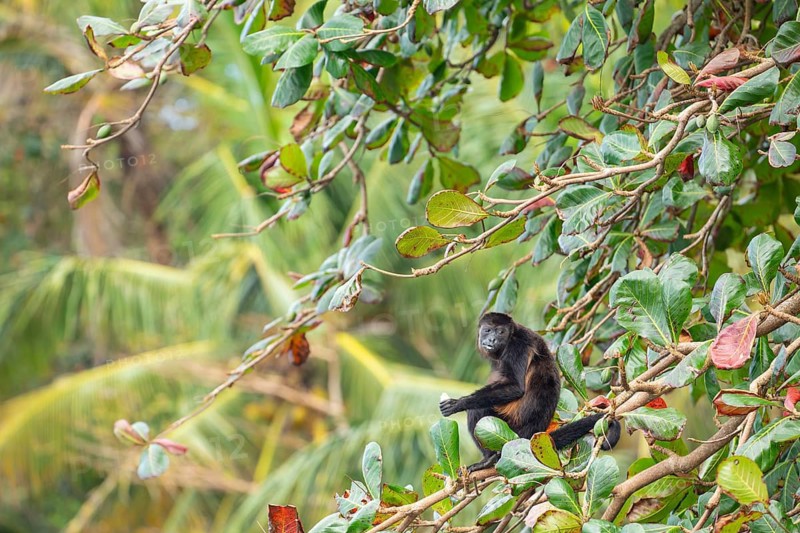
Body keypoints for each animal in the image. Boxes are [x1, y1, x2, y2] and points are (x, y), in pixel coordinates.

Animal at [439, 312, 620, 472]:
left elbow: (515, 388)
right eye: (488, 330)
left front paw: (459, 403)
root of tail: (530, 435)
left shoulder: (517, 347)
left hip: (512, 429)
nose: (491, 339)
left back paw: (487, 460)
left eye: (500, 331)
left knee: (478, 410)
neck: (511, 336)